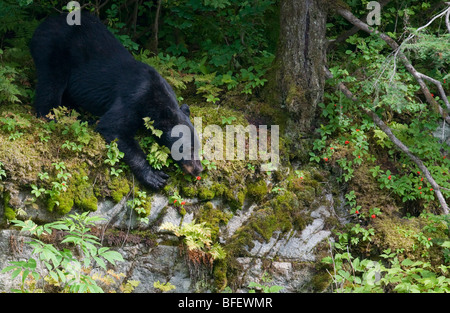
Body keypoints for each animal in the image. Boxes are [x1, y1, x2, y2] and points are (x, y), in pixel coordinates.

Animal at [29, 12, 202, 189]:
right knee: (50, 85)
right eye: (186, 148)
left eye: (198, 147)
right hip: (52, 49)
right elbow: (113, 127)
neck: (155, 95)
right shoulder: (133, 99)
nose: (198, 169)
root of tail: (44, 23)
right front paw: (154, 176)